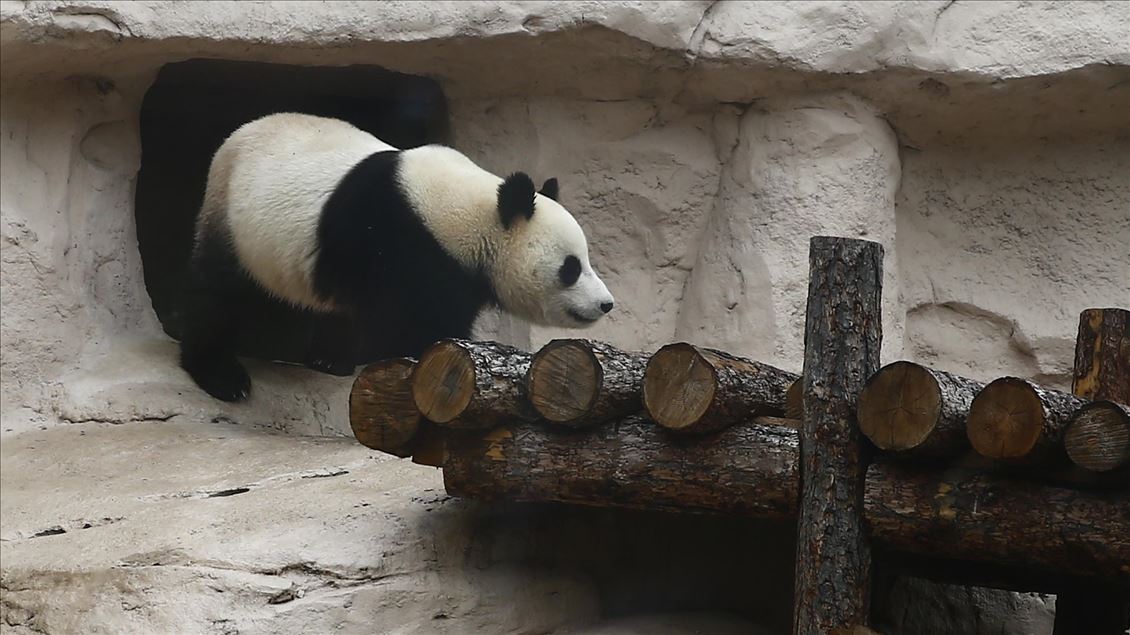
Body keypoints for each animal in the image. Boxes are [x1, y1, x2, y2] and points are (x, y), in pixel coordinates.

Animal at [179, 112, 614, 399]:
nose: (606, 304)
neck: (465, 212)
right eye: (571, 268)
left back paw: (328, 360)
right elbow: (414, 324)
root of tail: (237, 135)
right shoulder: (403, 245)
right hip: (237, 224)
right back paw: (222, 376)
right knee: (216, 295)